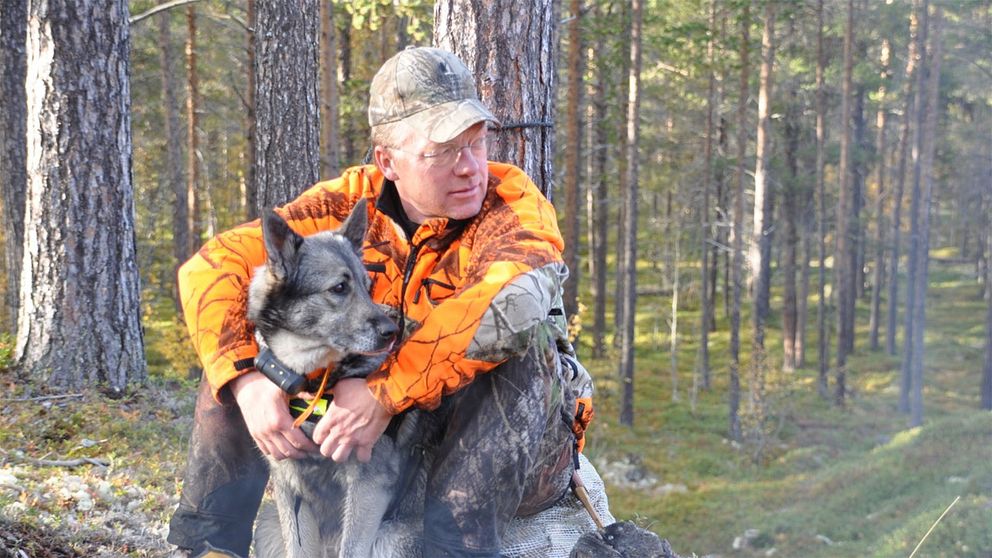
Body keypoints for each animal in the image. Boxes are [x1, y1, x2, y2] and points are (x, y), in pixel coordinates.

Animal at [250, 200, 424, 558]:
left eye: (368, 287)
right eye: (339, 288)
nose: (391, 332)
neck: (313, 383)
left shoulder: (368, 487)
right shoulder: (290, 489)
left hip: (392, 541)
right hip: (269, 526)